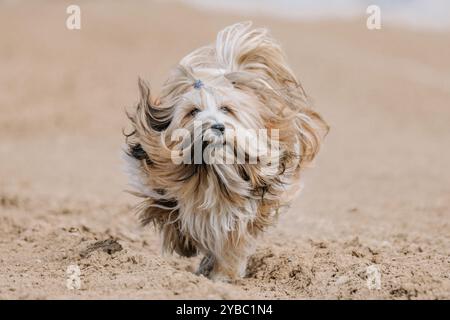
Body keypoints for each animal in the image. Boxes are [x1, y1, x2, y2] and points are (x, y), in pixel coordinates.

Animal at [123, 21, 326, 280]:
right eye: (193, 111)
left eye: (226, 109)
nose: (218, 126)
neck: (210, 172)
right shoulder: (162, 188)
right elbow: (172, 217)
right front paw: (185, 244)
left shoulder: (247, 207)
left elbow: (232, 242)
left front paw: (223, 276)